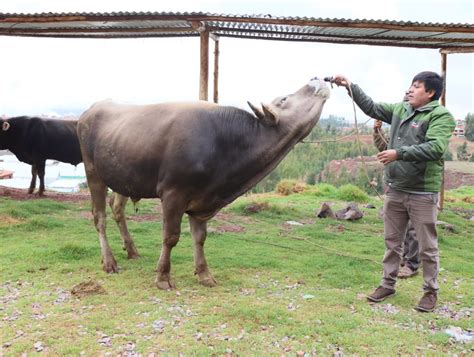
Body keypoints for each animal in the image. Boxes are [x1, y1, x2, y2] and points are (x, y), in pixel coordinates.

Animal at [78, 76, 330, 288]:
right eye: (285, 99)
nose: (318, 78)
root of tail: (91, 110)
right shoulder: (173, 193)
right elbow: (170, 236)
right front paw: (163, 277)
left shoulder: (202, 199)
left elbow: (200, 238)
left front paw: (204, 274)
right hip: (93, 172)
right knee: (99, 217)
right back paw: (109, 262)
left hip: (123, 175)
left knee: (117, 209)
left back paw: (131, 250)